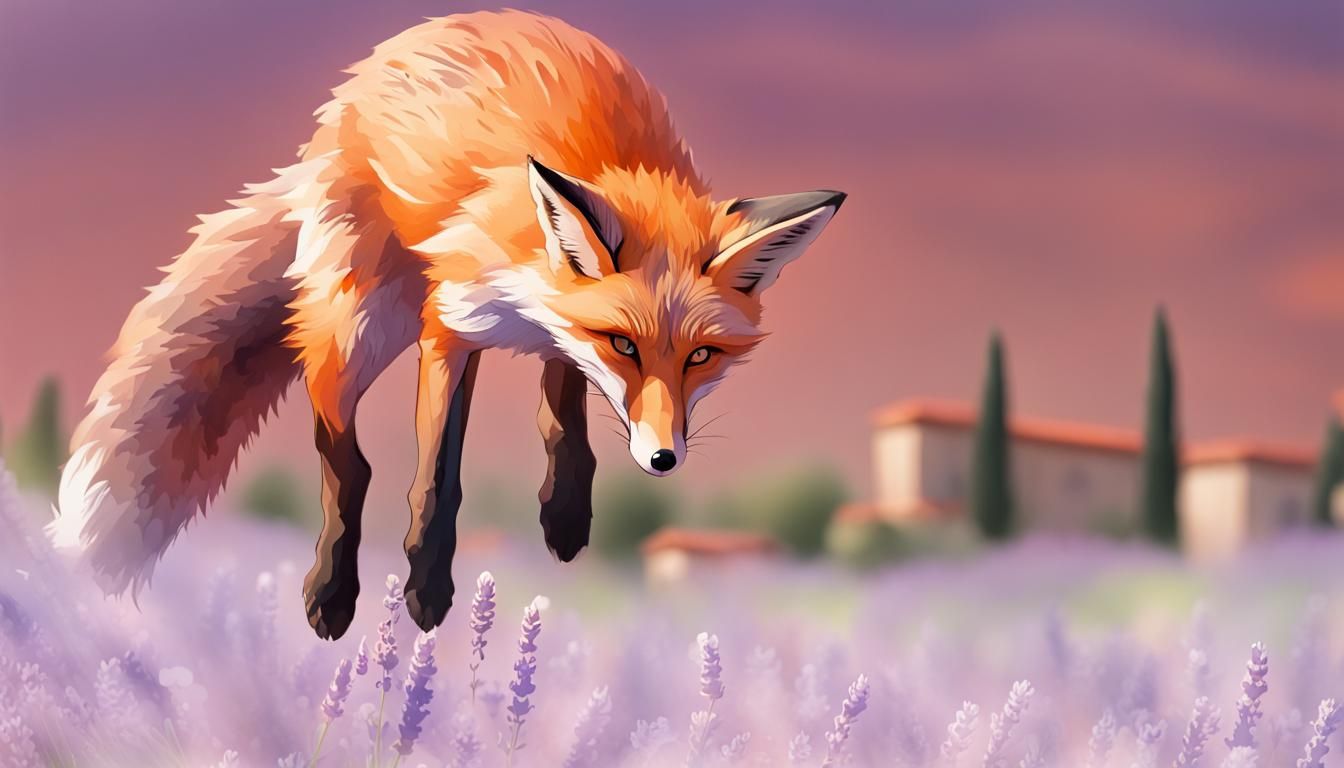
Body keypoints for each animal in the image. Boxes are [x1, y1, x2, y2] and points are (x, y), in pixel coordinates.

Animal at [50, 10, 845, 639]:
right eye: (625, 343)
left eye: (702, 356)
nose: (662, 459)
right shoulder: (451, 323)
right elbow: (435, 477)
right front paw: (426, 590)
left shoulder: (548, 330)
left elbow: (563, 411)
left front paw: (565, 514)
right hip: (365, 321)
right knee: (344, 450)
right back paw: (332, 591)